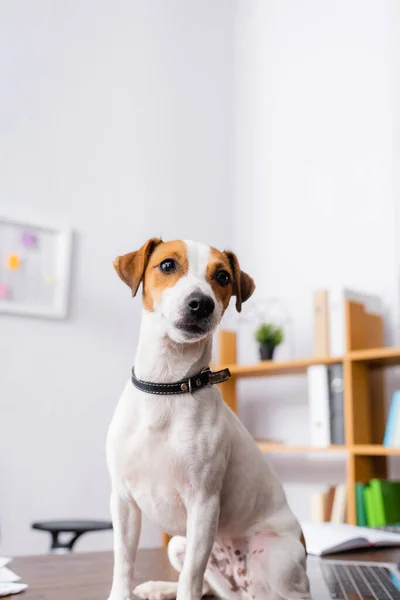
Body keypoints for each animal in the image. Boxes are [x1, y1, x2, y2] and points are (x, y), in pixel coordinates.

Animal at [106, 239, 310, 600]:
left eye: (223, 276)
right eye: (167, 265)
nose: (201, 303)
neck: (167, 387)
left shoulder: (203, 504)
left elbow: (191, 578)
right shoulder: (123, 501)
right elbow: (124, 562)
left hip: (277, 559)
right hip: (178, 544)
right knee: (208, 587)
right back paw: (159, 587)